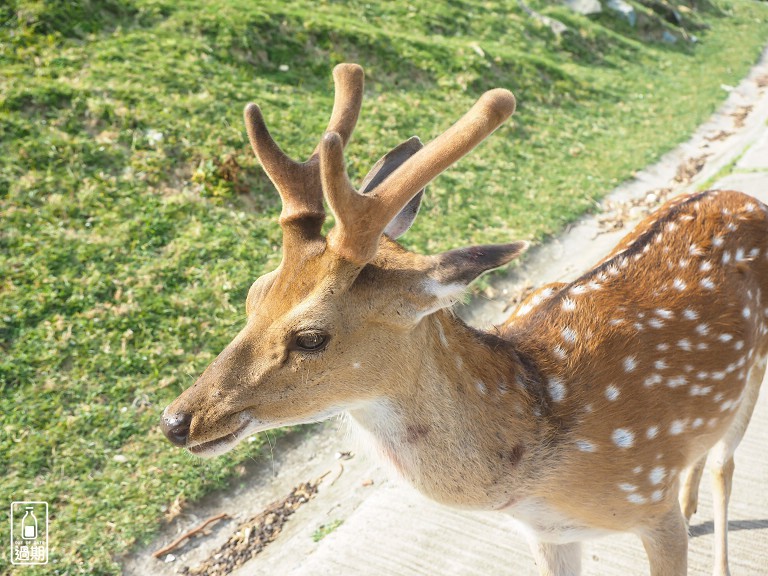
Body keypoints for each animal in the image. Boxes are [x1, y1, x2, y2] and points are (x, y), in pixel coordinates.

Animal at [162, 60, 768, 572]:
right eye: (253, 295)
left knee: (725, 463)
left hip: (756, 365)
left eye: (311, 337)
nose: (177, 420)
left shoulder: (650, 505)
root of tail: (743, 196)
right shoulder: (549, 535)